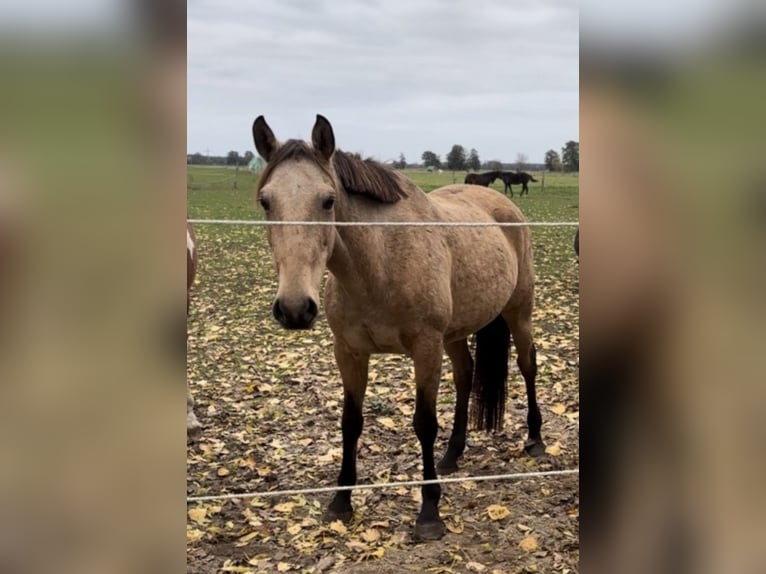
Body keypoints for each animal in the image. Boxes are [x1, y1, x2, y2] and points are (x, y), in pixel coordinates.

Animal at [255, 115, 544, 544]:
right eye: (265, 201)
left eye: (328, 200)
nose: (294, 309)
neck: (381, 262)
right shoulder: (350, 353)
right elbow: (351, 423)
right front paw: (341, 501)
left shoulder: (425, 349)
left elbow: (424, 423)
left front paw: (429, 513)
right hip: (455, 335)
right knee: (466, 376)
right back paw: (452, 454)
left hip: (518, 312)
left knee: (528, 366)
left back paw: (535, 440)